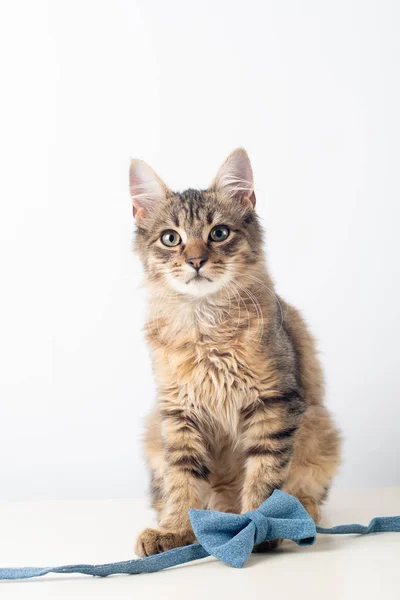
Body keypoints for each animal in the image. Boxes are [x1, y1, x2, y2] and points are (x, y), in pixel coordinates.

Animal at [129, 148, 340, 556]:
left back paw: (297, 515)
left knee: (305, 491)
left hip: (320, 431)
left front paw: (258, 526)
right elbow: (183, 480)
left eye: (219, 233)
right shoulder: (178, 411)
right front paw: (175, 530)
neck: (207, 327)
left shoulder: (274, 402)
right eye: (171, 238)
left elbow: (264, 476)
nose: (195, 260)